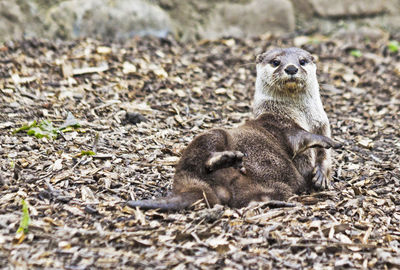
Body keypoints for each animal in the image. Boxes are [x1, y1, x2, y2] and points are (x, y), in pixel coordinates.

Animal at [255, 47, 332, 190]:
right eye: (275, 62)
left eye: (302, 61)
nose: (291, 68)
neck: (303, 116)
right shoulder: (278, 121)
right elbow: (297, 140)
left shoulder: (321, 123)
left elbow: (324, 153)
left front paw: (321, 175)